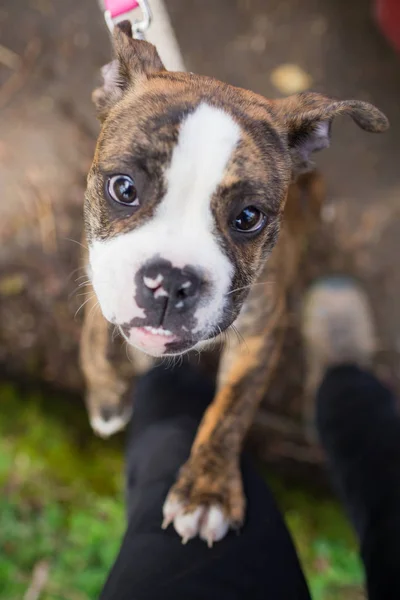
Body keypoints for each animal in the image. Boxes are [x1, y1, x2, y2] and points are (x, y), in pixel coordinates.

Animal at [79, 22, 390, 544]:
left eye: (248, 217)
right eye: (123, 188)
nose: (170, 282)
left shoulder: (262, 330)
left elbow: (231, 408)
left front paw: (208, 493)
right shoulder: (96, 269)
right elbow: (93, 340)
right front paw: (107, 398)